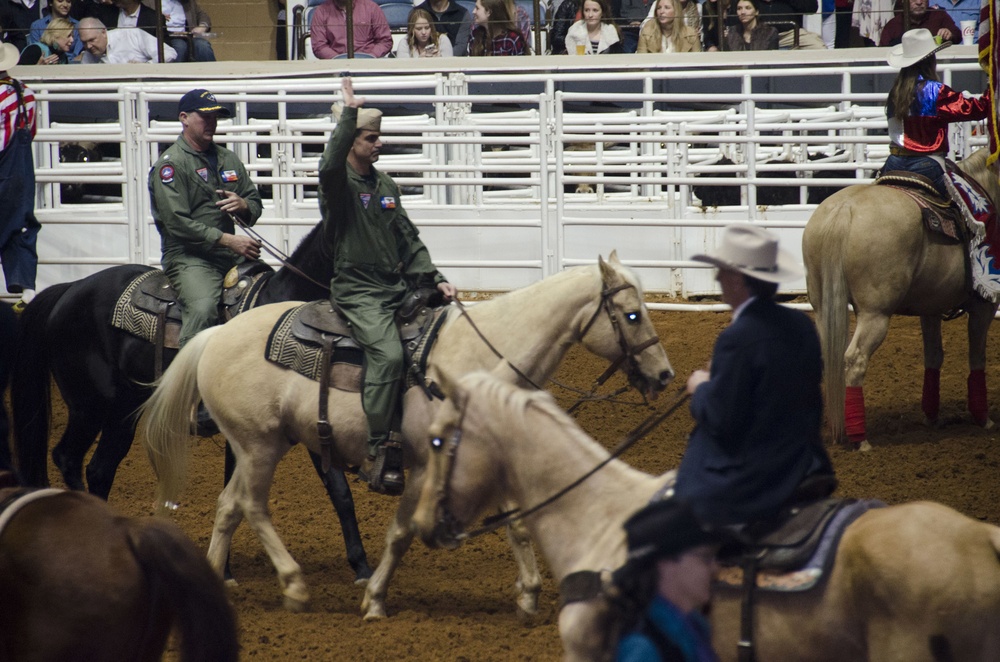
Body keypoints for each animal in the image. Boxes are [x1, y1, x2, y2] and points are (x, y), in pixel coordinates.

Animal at [12, 222, 372, 580]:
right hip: (90, 407)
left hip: (121, 413)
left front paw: (363, 567)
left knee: (99, 469)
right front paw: (224, 569)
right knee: (69, 458)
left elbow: (339, 491)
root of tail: (70, 289)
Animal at [141, 255, 672, 624]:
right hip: (259, 446)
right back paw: (293, 586)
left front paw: (528, 596)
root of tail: (216, 335)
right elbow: (400, 534)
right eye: (631, 315)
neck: (477, 358)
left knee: (229, 506)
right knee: (251, 505)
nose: (664, 375)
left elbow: (517, 526)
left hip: (258, 446)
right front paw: (374, 600)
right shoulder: (420, 467)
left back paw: (217, 579)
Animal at [804, 149, 1000, 452]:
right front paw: (983, 418)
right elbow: (977, 357)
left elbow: (934, 356)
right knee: (855, 359)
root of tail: (844, 210)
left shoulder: (931, 308)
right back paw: (860, 439)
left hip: (823, 307)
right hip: (875, 314)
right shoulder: (984, 304)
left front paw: (931, 416)